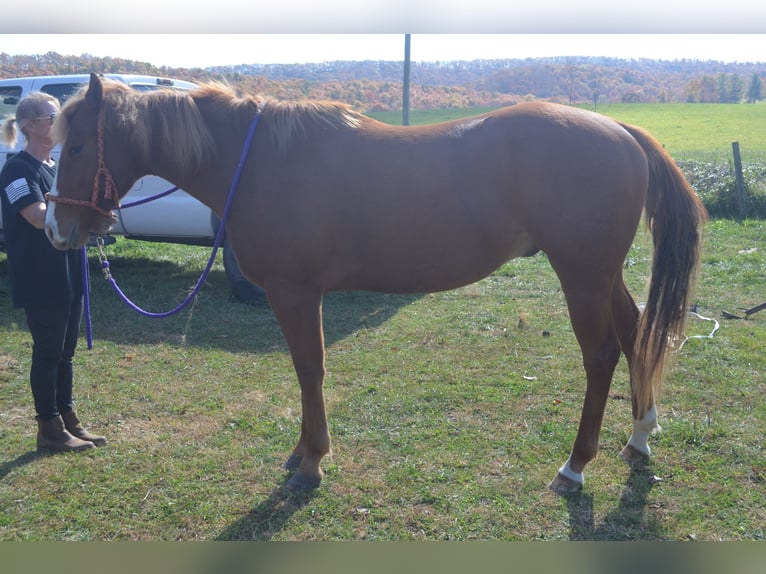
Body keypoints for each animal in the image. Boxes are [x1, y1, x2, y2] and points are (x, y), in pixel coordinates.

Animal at [45, 72, 712, 496]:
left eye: (75, 145)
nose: (55, 229)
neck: (257, 161)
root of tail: (620, 129)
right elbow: (306, 371)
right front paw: (304, 451)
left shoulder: (294, 292)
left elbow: (309, 369)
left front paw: (312, 460)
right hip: (601, 273)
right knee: (635, 334)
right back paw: (641, 437)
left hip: (581, 274)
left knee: (601, 355)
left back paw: (575, 466)